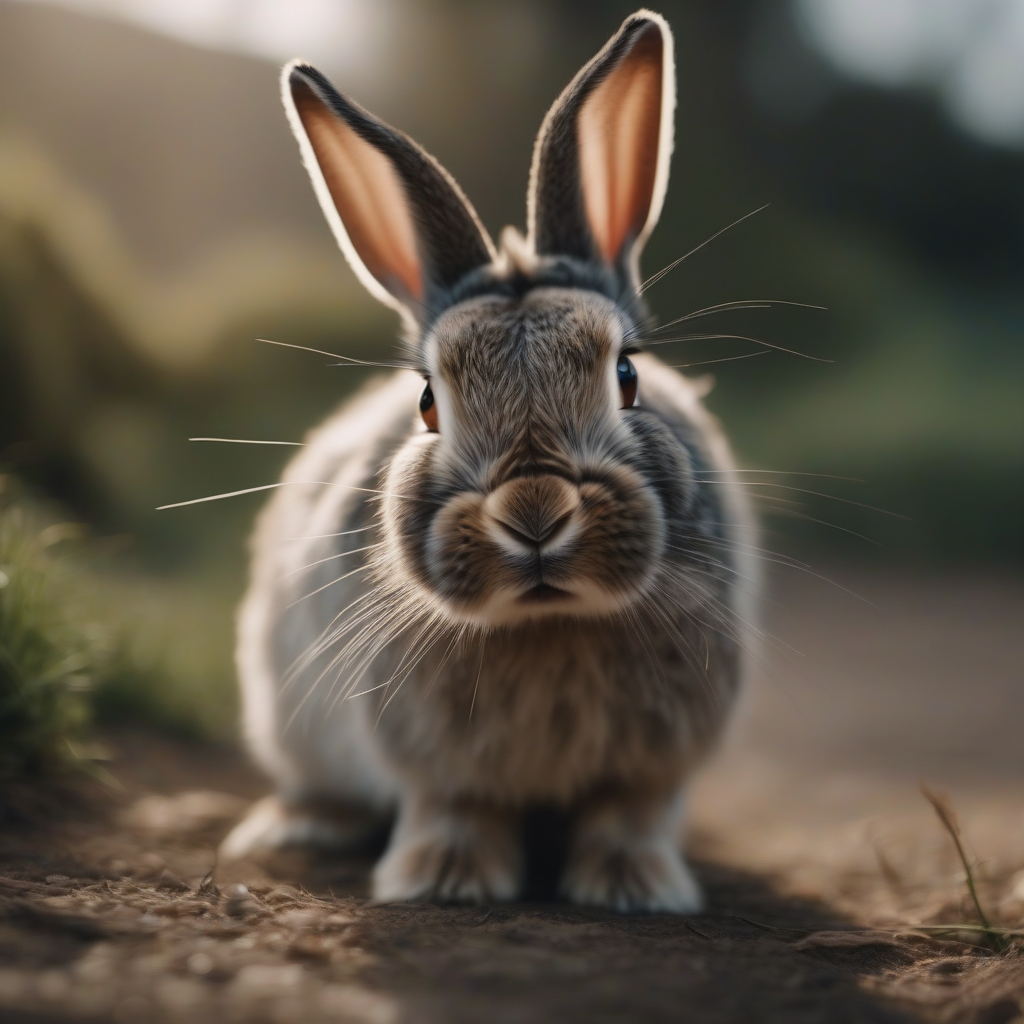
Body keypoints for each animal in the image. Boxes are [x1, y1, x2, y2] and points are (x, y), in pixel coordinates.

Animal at [220, 9, 757, 914]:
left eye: (628, 376)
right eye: (428, 403)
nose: (534, 514)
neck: (545, 626)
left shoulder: (655, 763)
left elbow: (629, 815)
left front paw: (634, 889)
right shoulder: (429, 759)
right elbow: (453, 808)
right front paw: (446, 881)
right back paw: (292, 829)